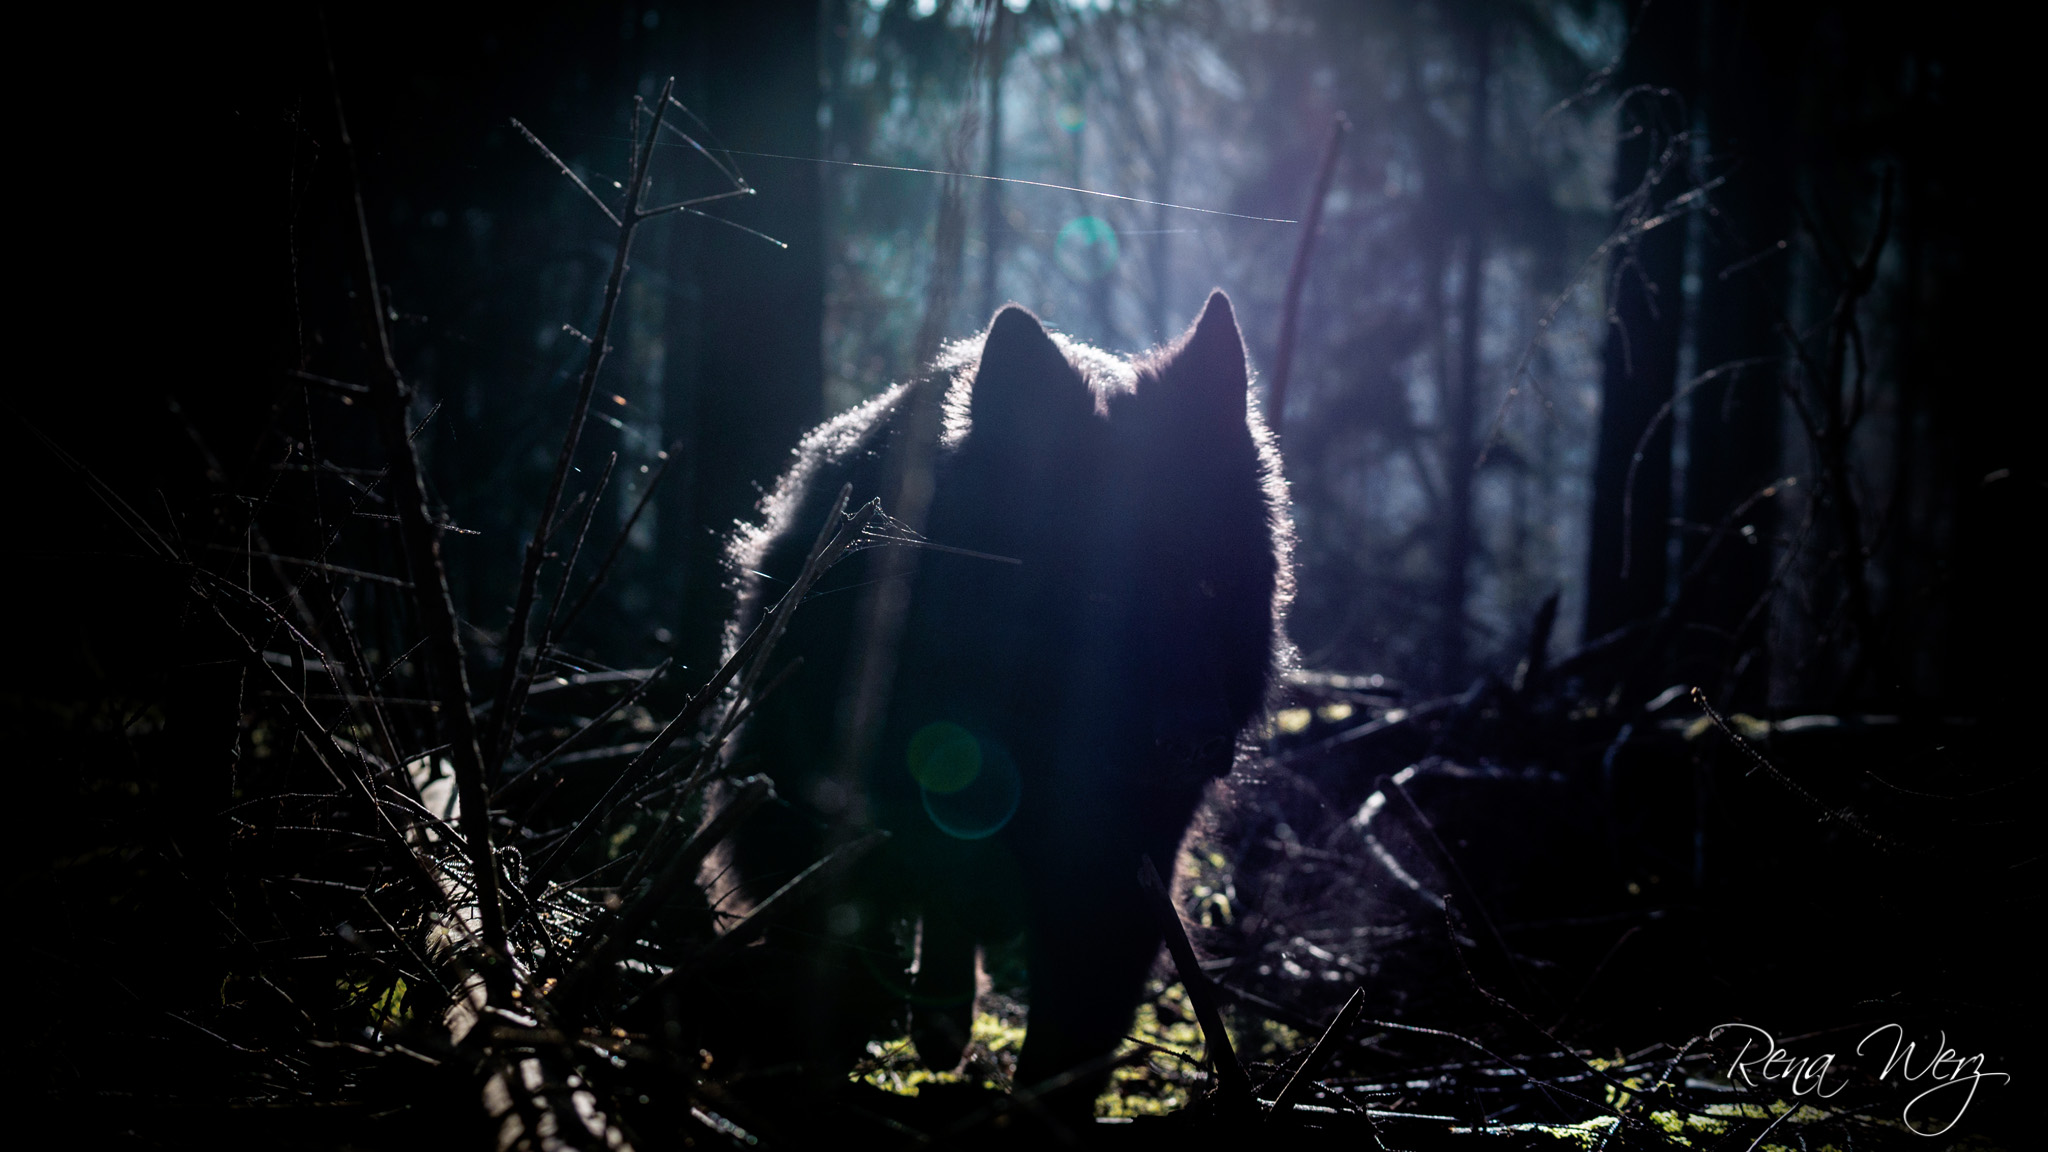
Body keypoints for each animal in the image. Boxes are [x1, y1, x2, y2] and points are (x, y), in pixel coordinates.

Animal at [708, 291, 1291, 1120]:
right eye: (1096, 594)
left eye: (1209, 588)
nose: (1193, 742)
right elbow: (839, 949)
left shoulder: (1119, 874)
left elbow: (1069, 1036)